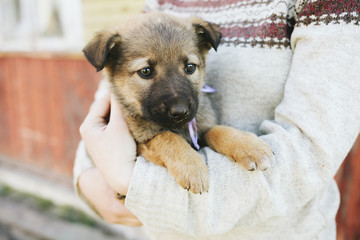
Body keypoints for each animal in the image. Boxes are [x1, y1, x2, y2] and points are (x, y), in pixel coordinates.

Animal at [82, 12, 272, 194]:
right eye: (146, 71)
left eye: (190, 67)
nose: (180, 112)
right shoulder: (141, 145)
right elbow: (167, 137)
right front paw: (192, 168)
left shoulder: (201, 128)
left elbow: (218, 130)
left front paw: (249, 147)